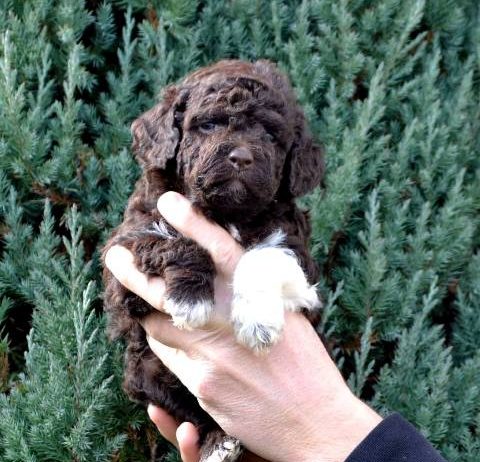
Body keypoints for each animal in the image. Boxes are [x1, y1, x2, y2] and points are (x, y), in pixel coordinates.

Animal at [102, 60, 324, 462]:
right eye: (208, 125)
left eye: (271, 135)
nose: (241, 157)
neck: (225, 214)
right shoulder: (122, 257)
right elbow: (174, 239)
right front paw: (191, 298)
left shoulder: (300, 258)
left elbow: (263, 256)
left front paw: (257, 322)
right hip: (145, 372)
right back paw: (217, 441)